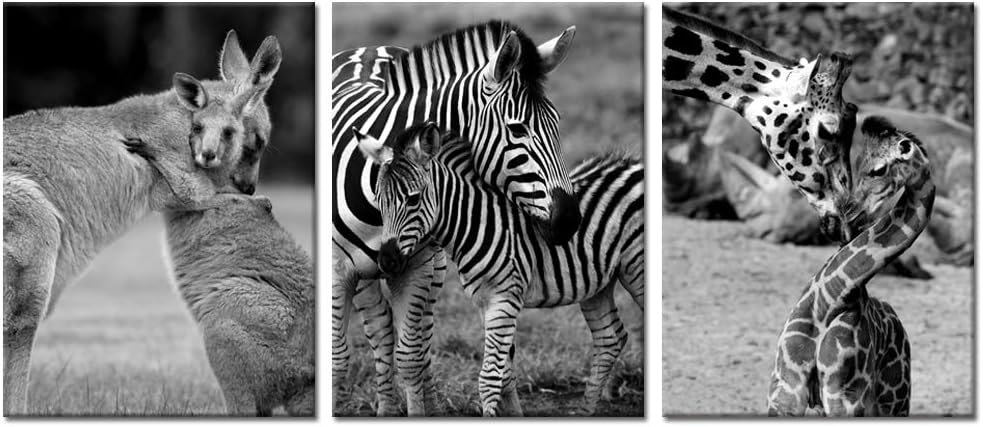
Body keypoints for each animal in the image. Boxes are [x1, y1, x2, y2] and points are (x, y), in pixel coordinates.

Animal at [332, 21, 580, 416]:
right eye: (517, 130)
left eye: (557, 125)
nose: (569, 220)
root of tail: (368, 48)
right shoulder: (338, 268)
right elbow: (338, 360)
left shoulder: (416, 264)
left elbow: (411, 357)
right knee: (379, 329)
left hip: (432, 265)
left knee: (416, 341)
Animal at [356, 122, 644, 416]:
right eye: (378, 201)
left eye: (413, 200)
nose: (386, 260)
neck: (477, 223)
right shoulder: (485, 302)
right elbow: (504, 374)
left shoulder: (504, 299)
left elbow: (489, 378)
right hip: (599, 282)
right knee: (610, 338)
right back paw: (585, 411)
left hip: (636, 268)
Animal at [767, 116, 935, 416]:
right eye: (857, 166)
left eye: (878, 169)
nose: (851, 212)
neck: (829, 299)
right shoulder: (785, 390)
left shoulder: (844, 397)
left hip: (895, 399)